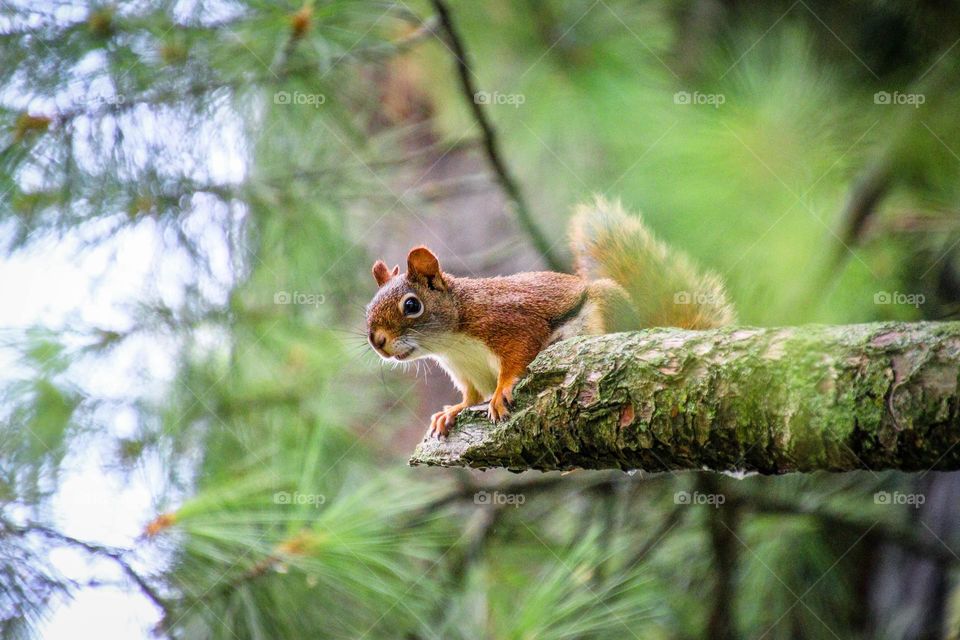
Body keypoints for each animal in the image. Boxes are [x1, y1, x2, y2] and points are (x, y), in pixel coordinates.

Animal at [365, 197, 735, 438]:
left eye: (411, 306)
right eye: (368, 308)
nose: (377, 342)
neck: (452, 341)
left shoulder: (509, 323)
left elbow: (516, 358)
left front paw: (502, 391)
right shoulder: (467, 373)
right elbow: (471, 397)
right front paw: (451, 412)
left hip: (604, 306)